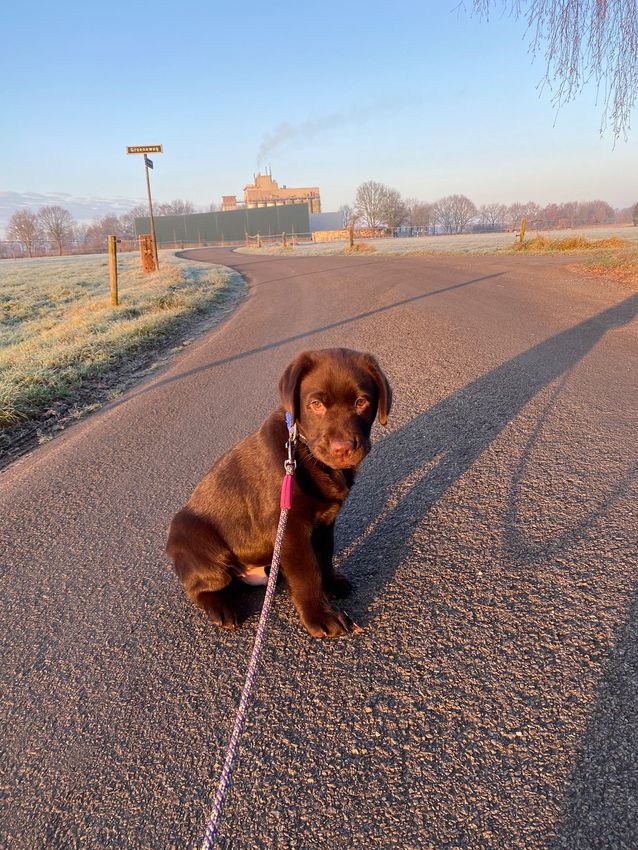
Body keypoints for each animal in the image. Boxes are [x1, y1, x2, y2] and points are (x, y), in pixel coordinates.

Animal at [166, 348, 392, 638]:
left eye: (362, 402)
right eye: (315, 404)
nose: (342, 449)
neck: (302, 452)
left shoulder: (324, 523)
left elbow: (324, 556)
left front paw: (331, 584)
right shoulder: (290, 529)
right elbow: (306, 574)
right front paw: (319, 617)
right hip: (195, 540)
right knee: (200, 588)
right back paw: (221, 609)